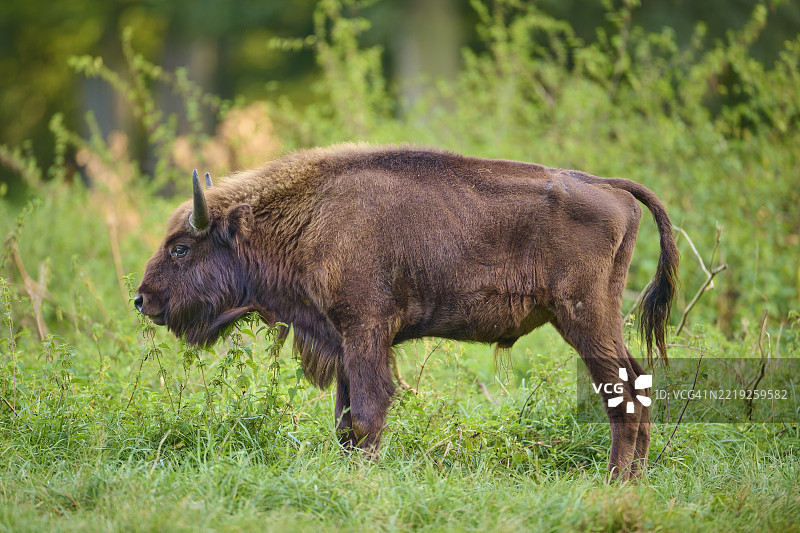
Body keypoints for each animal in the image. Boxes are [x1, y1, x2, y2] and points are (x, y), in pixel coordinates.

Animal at [135, 144, 679, 480]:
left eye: (181, 248)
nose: (141, 299)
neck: (309, 217)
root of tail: (609, 187)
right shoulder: (344, 342)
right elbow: (344, 420)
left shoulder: (365, 333)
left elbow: (366, 415)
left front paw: (364, 477)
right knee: (640, 384)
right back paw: (635, 479)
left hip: (584, 320)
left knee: (623, 396)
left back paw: (612, 482)